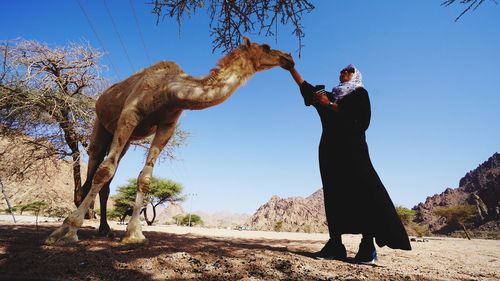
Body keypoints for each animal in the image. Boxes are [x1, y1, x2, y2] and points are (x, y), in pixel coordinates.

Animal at [45, 37, 292, 243]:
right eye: (267, 47)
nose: (288, 57)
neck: (169, 90)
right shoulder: (130, 114)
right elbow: (105, 170)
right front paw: (67, 230)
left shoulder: (167, 126)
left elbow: (145, 178)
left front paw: (134, 234)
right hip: (101, 124)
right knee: (96, 164)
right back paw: (78, 223)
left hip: (127, 141)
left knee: (107, 176)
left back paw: (105, 229)